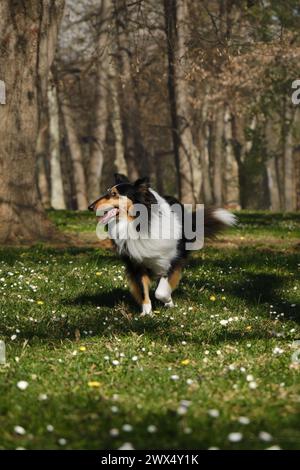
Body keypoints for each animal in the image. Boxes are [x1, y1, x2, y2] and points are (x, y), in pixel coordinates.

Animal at [88, 173, 236, 316]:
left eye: (114, 194)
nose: (90, 207)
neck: (139, 224)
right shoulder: (136, 264)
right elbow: (143, 291)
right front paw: (146, 313)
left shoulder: (170, 260)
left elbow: (161, 292)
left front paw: (169, 302)